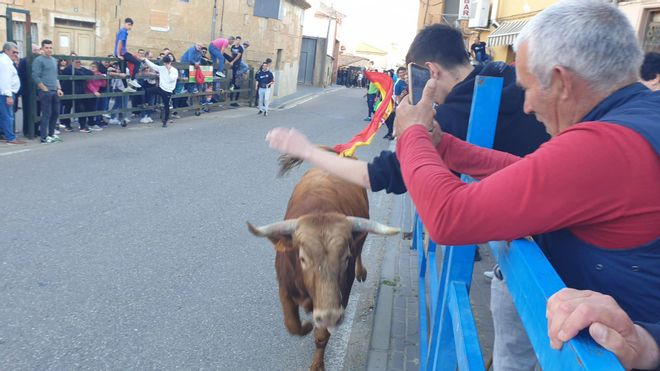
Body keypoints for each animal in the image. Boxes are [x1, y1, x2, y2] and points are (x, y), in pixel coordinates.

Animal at [248, 169, 400, 371]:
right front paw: (305, 326)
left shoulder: (340, 298)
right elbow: (292, 324)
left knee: (360, 250)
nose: (329, 315)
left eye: (346, 258)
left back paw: (361, 272)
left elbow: (322, 335)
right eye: (302, 258)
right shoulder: (285, 288)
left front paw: (317, 364)